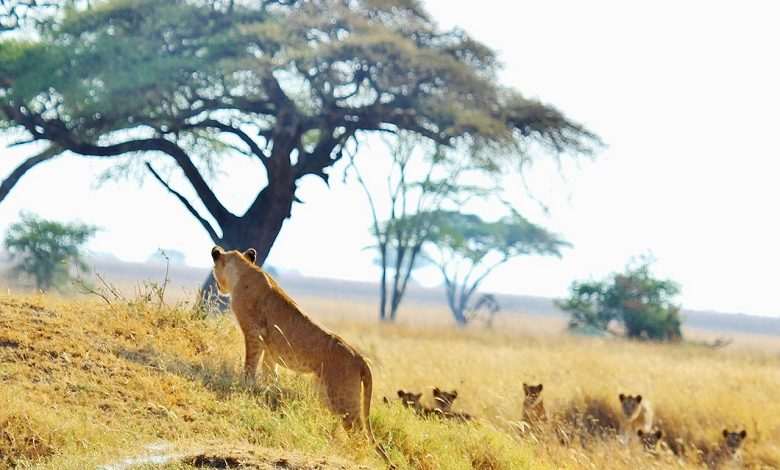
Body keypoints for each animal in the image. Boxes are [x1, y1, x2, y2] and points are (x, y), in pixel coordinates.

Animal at [210, 246, 392, 465]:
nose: (218, 287)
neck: (243, 268)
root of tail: (360, 357)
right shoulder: (270, 347)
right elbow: (270, 372)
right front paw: (268, 390)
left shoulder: (254, 334)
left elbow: (250, 364)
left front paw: (245, 384)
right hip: (326, 394)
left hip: (343, 399)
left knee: (360, 435)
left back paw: (357, 457)